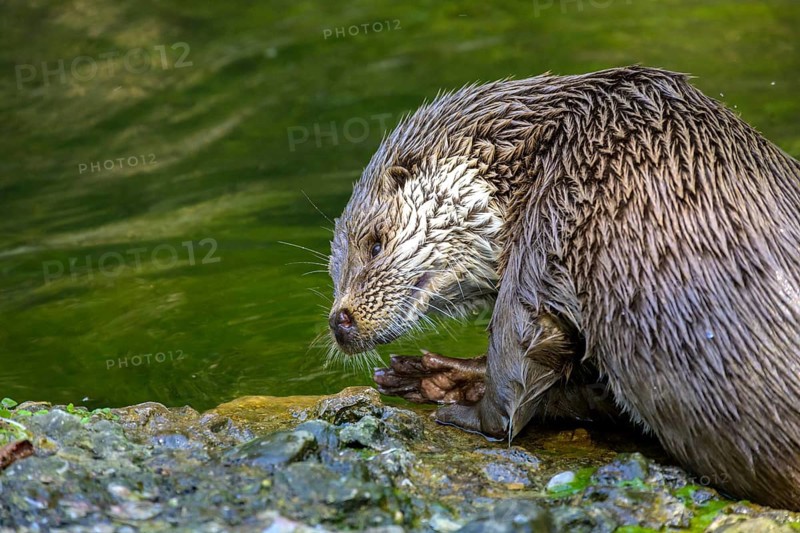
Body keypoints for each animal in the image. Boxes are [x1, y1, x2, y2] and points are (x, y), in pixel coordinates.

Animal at [326, 66, 800, 510]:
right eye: (334, 272)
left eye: (375, 243)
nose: (338, 321)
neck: (538, 151)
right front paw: (438, 376)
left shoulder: (551, 216)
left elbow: (518, 355)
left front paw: (465, 406)